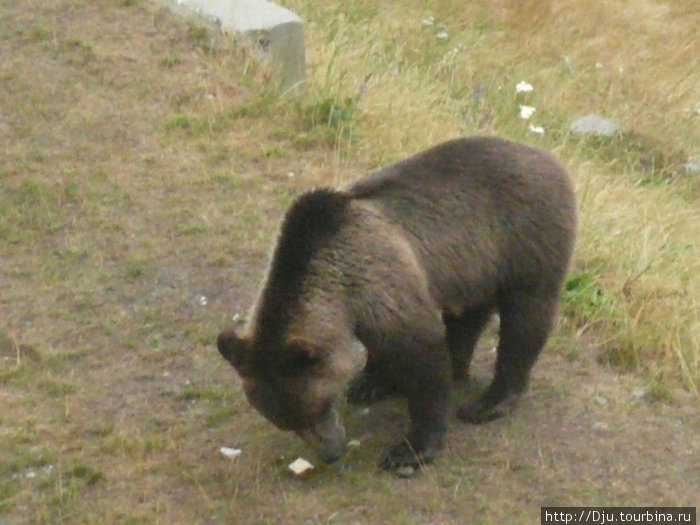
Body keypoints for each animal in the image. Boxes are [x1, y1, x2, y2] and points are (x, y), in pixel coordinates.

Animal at [216, 135, 576, 470]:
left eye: (316, 406)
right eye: (285, 421)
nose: (331, 454)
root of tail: (549, 157)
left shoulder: (382, 279)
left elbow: (422, 356)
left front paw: (411, 450)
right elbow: (381, 348)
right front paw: (370, 382)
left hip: (525, 239)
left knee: (525, 319)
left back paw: (489, 402)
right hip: (474, 265)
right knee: (468, 316)